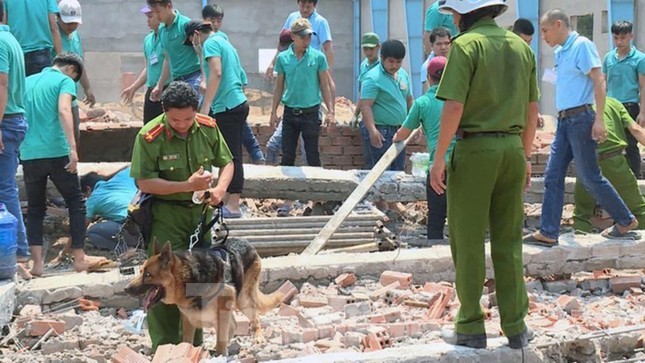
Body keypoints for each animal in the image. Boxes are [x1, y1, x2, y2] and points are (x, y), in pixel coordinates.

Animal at [126, 239, 282, 356]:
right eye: (140, 271)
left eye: (148, 275)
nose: (126, 289)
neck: (187, 279)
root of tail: (246, 242)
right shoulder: (188, 319)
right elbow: (187, 341)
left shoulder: (222, 310)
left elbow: (221, 338)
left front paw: (220, 354)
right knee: (234, 325)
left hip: (242, 300)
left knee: (255, 318)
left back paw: (258, 338)